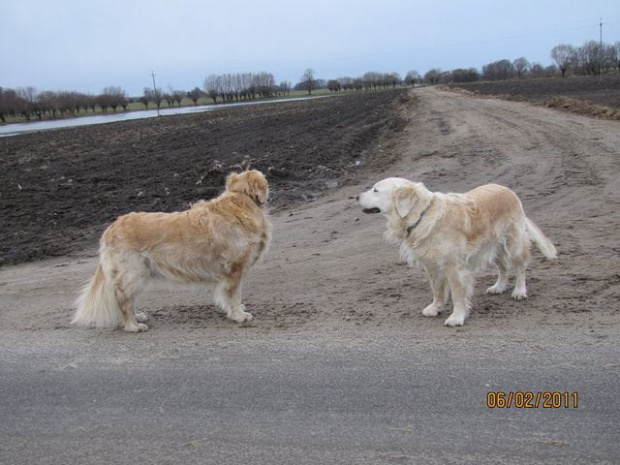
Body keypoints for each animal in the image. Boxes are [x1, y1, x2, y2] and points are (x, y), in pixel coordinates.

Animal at [72, 169, 272, 330]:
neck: (241, 202)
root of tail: (110, 229)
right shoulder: (234, 269)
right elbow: (234, 295)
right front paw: (239, 315)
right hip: (134, 273)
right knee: (124, 301)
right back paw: (133, 326)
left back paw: (138, 317)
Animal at [358, 178, 556, 326]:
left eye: (375, 190)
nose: (356, 196)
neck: (422, 215)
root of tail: (507, 189)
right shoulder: (431, 265)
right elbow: (437, 290)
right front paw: (435, 308)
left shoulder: (454, 267)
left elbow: (458, 295)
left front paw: (456, 317)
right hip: (492, 246)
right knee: (503, 267)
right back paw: (498, 287)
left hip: (513, 242)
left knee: (520, 266)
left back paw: (520, 291)